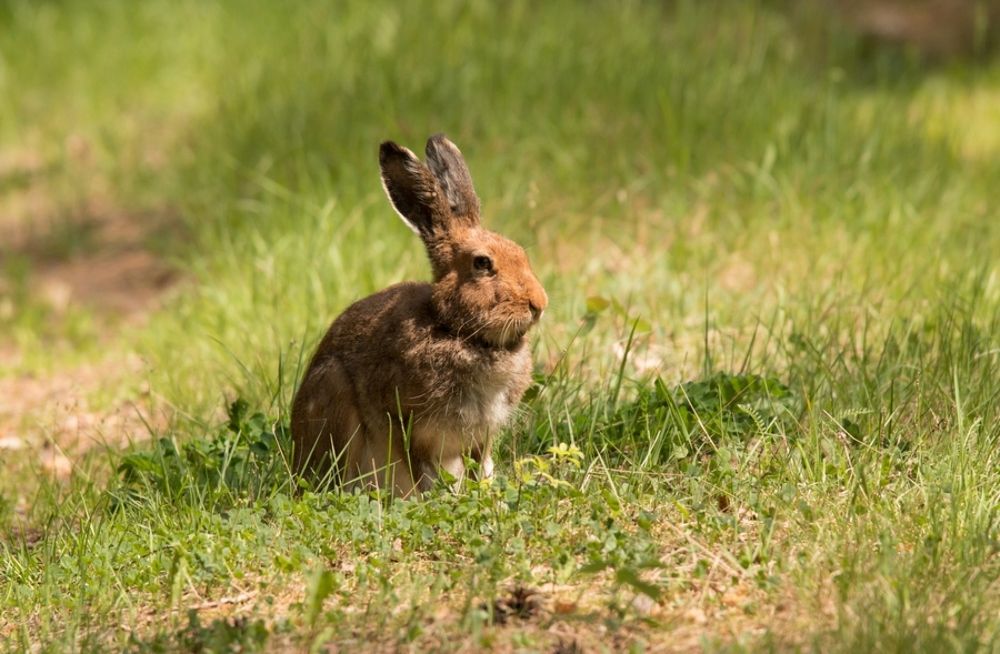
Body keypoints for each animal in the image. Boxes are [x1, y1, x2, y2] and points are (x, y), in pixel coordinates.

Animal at [291, 134, 548, 497]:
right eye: (482, 263)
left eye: (520, 253)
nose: (539, 303)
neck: (453, 328)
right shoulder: (405, 421)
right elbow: (419, 468)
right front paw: (432, 498)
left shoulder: (480, 437)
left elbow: (478, 466)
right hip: (335, 394)